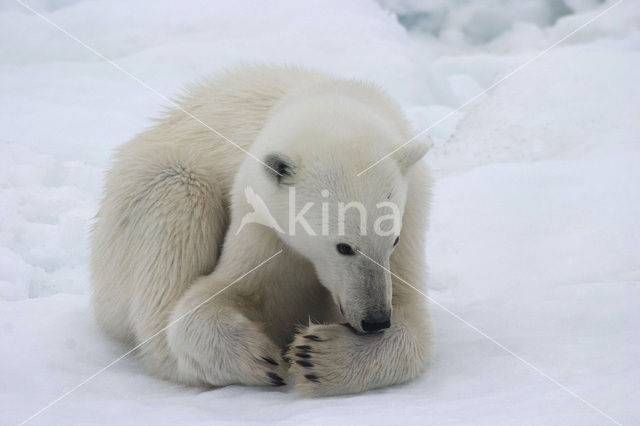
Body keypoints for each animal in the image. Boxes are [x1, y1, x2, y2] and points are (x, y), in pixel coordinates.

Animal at [90, 65, 432, 396]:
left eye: (393, 240)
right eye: (344, 246)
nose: (375, 319)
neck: (332, 95)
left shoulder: (412, 211)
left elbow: (412, 317)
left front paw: (317, 356)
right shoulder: (260, 219)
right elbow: (219, 295)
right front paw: (261, 358)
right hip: (147, 190)